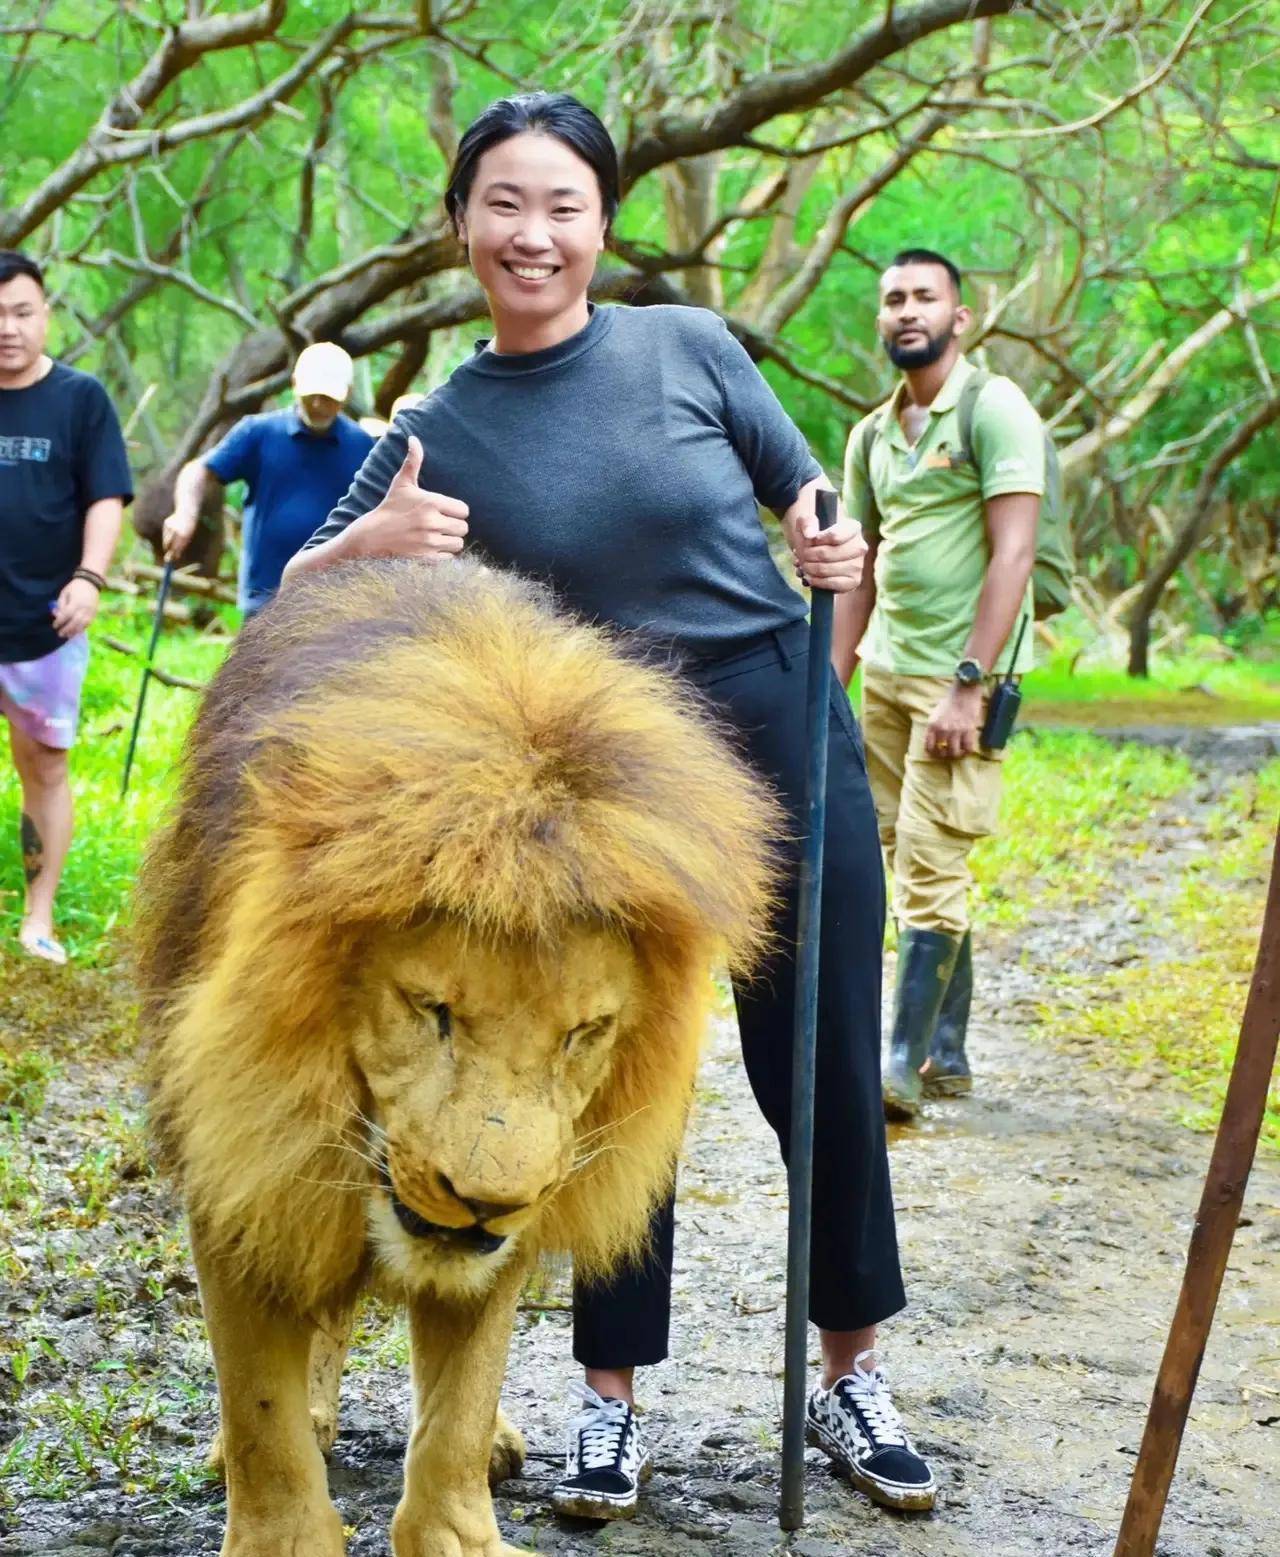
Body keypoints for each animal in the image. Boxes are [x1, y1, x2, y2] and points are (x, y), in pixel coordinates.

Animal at [137, 563, 781, 1557]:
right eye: (431, 1008)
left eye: (584, 1031)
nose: (485, 1199)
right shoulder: (238, 1153)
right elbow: (260, 1411)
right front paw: (283, 1522)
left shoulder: (535, 1185)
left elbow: (461, 1406)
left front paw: (458, 1527)